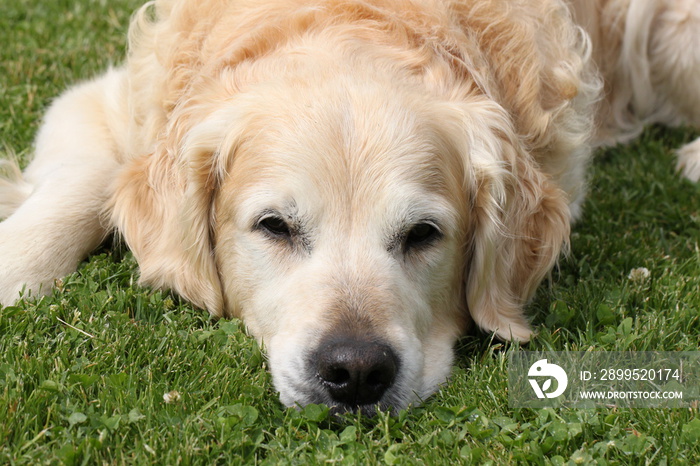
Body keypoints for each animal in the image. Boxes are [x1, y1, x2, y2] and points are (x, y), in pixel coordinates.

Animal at [1, 1, 700, 414]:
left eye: (423, 234)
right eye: (274, 227)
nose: (357, 371)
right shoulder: (109, 99)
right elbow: (83, 185)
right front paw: (14, 268)